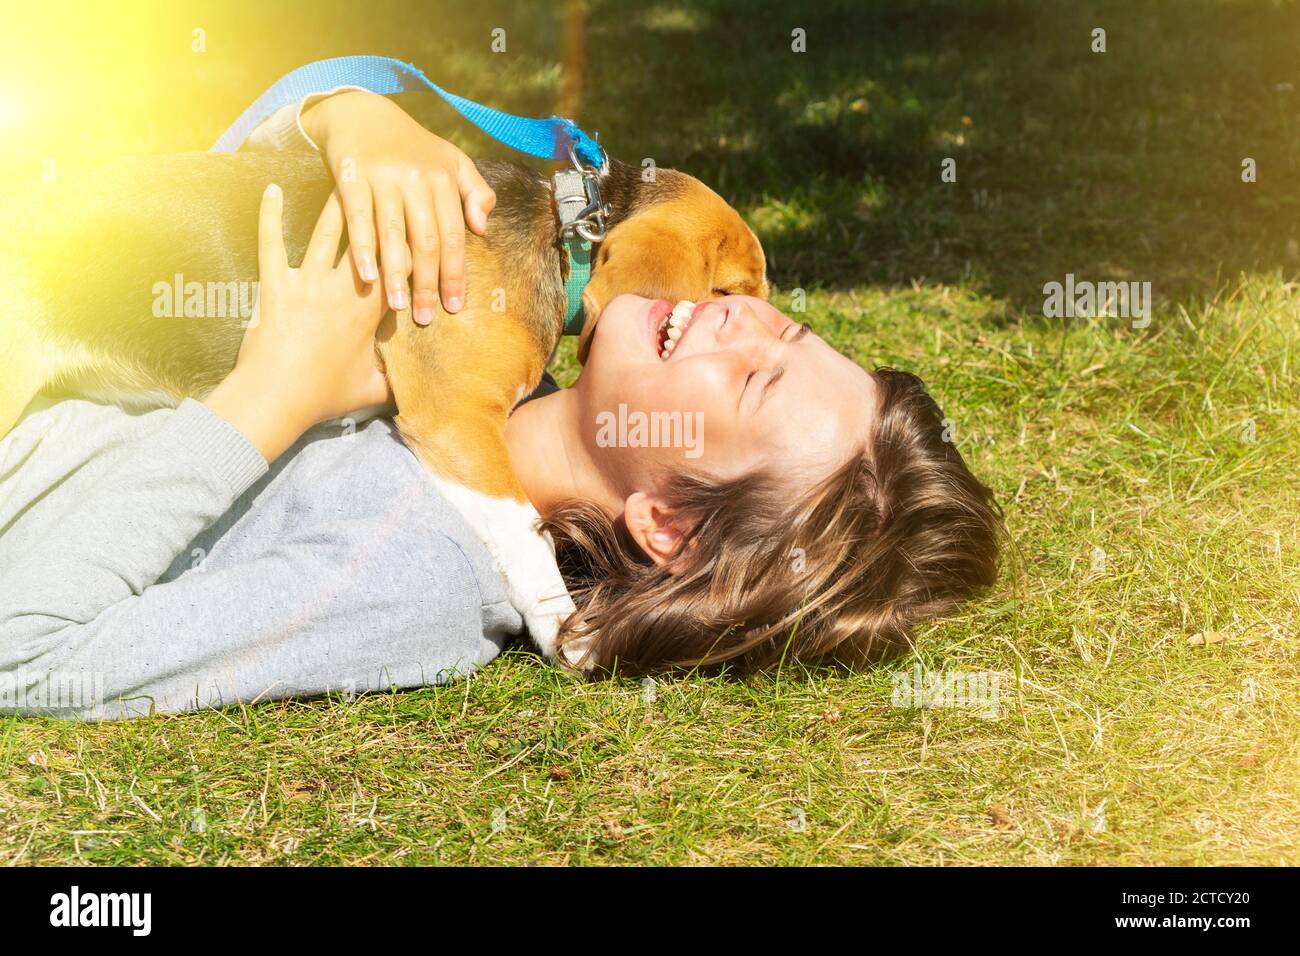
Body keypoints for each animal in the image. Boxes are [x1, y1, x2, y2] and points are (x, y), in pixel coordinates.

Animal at [0, 145, 764, 665]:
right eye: (731, 290)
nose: (768, 327)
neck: (561, 234)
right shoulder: (455, 419)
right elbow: (524, 528)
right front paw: (561, 622)